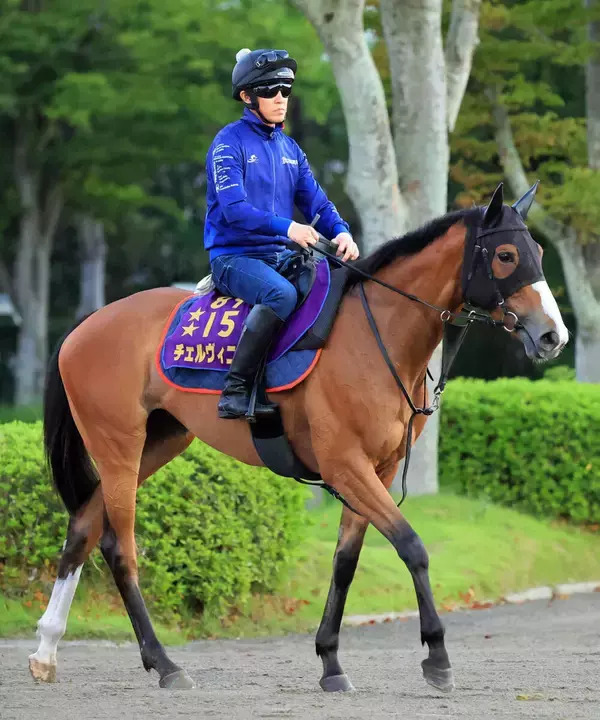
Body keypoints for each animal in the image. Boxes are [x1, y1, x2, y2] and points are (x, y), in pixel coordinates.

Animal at [29, 182, 567, 693]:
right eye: (506, 255)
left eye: (538, 251)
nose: (552, 336)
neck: (377, 334)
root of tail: (87, 324)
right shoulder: (345, 465)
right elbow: (412, 546)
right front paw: (437, 657)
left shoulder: (378, 469)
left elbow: (345, 561)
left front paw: (330, 662)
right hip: (118, 445)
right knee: (120, 548)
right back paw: (164, 664)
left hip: (157, 443)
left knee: (83, 525)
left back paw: (46, 650)